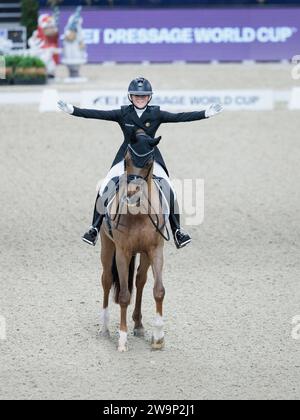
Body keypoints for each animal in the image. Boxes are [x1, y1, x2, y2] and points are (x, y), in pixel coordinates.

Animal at [98, 131, 169, 352]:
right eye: (127, 160)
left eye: (148, 162)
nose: (131, 195)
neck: (138, 214)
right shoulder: (122, 252)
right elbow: (123, 296)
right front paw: (122, 340)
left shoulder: (155, 250)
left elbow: (159, 291)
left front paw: (158, 337)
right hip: (107, 246)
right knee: (106, 280)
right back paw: (104, 328)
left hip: (144, 254)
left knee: (140, 280)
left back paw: (138, 325)